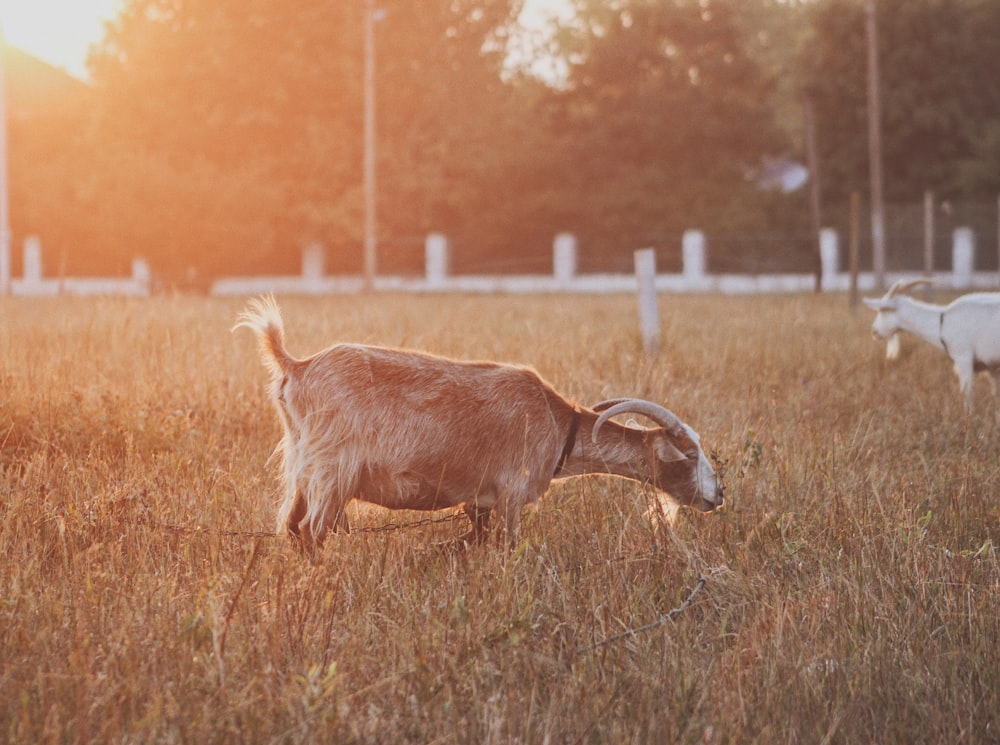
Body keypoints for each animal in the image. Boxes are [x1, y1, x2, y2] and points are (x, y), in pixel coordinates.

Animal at [236, 294, 720, 548]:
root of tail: (296, 366)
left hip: (304, 467)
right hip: (332, 468)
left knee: (292, 528)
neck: (558, 424)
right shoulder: (511, 494)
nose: (719, 496)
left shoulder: (479, 502)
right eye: (689, 454)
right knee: (311, 531)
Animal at [864, 280, 1000, 418]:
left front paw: (969, 417)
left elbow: (966, 391)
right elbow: (995, 394)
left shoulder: (964, 358)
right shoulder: (992, 367)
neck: (942, 324)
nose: (874, 332)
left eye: (883, 310)